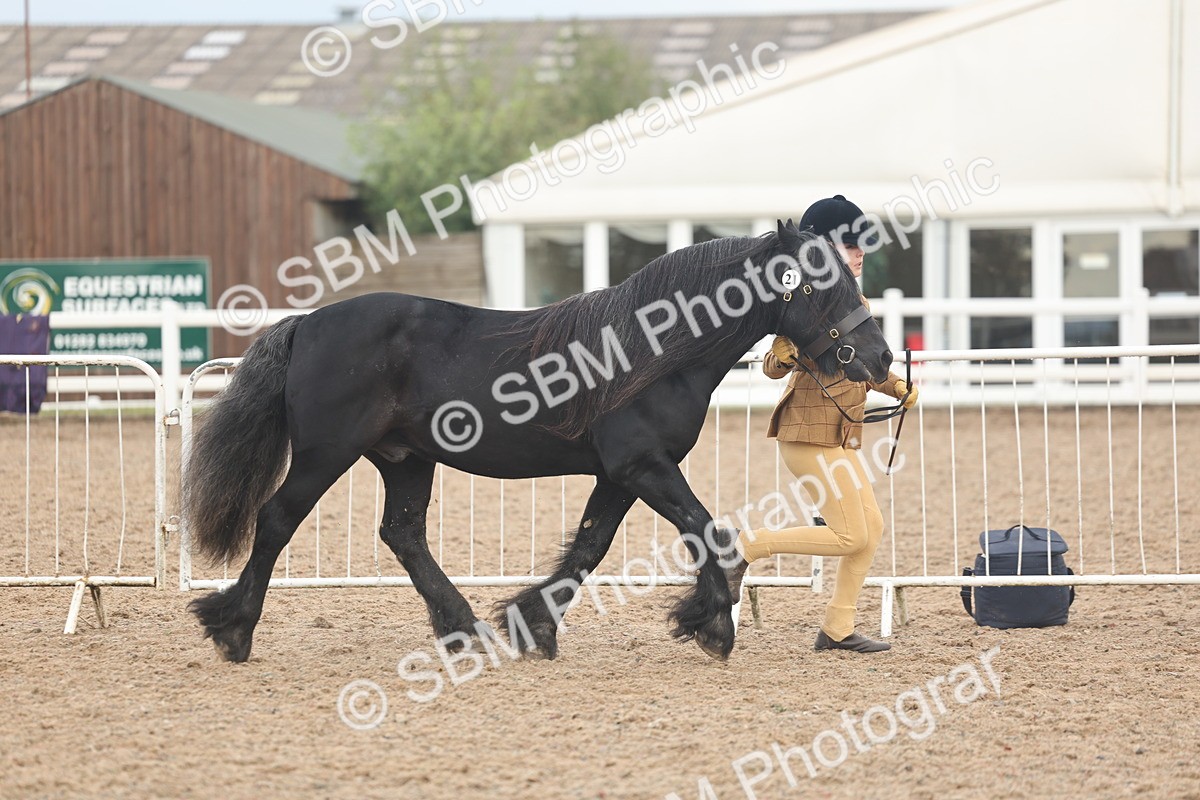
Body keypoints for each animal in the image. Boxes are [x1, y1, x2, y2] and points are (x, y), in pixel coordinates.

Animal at [184, 219, 893, 663]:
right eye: (817, 284)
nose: (881, 357)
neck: (651, 351)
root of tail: (306, 324)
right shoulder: (643, 465)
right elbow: (705, 531)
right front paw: (712, 625)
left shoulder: (619, 473)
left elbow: (589, 547)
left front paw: (534, 627)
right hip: (325, 455)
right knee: (276, 519)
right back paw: (233, 630)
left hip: (406, 460)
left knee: (403, 534)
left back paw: (465, 630)